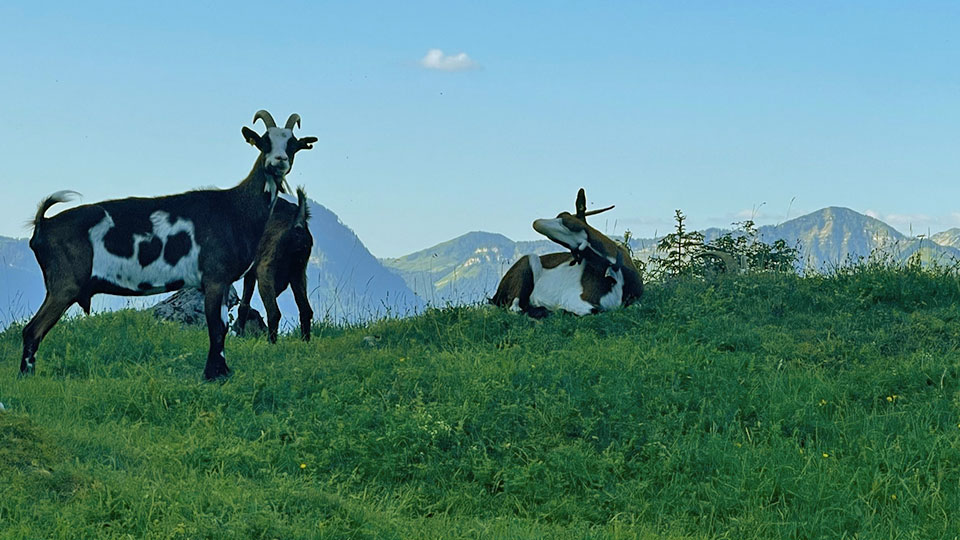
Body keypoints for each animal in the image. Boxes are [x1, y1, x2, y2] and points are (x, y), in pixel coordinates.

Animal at [236, 186, 316, 342]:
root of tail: (297, 224)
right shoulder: (250, 274)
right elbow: (244, 305)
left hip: (266, 271)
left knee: (274, 313)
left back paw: (271, 342)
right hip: (298, 273)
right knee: (305, 310)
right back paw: (305, 341)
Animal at [492, 189, 640, 318]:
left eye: (564, 217)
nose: (537, 223)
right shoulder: (575, 300)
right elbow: (591, 311)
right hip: (526, 267)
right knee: (515, 308)